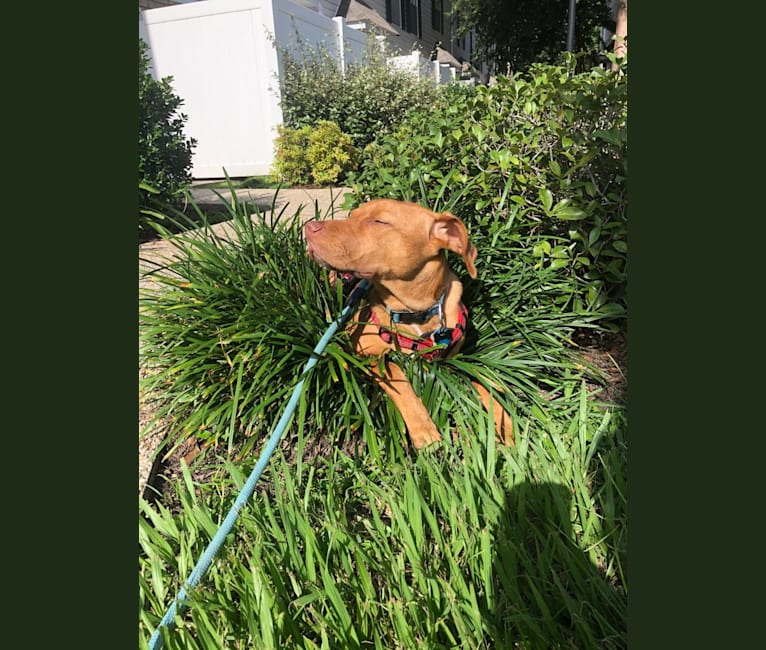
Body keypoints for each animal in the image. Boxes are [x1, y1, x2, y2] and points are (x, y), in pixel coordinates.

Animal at [304, 197, 512, 448]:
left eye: (379, 221)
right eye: (351, 215)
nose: (308, 227)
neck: (415, 311)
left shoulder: (451, 361)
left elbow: (478, 378)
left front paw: (504, 424)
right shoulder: (363, 353)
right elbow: (397, 374)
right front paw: (423, 428)